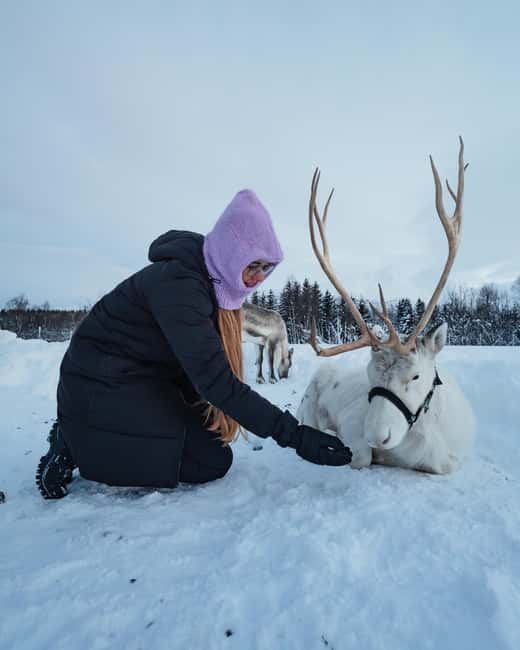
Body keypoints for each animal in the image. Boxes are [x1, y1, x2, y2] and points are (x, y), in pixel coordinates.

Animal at [297, 138, 475, 474]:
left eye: (415, 376)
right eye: (370, 375)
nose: (377, 436)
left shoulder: (453, 457)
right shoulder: (353, 424)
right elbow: (361, 457)